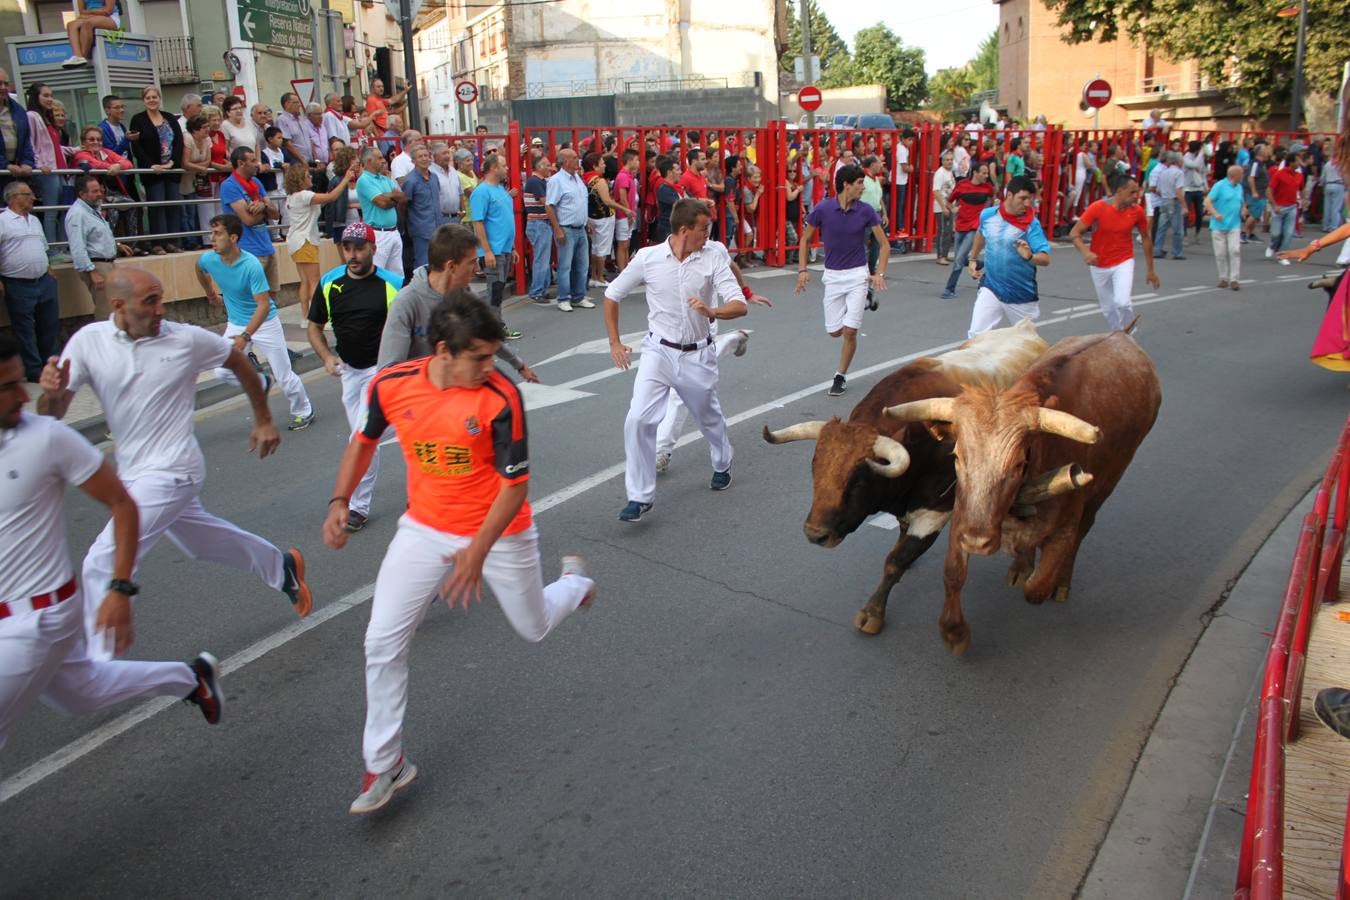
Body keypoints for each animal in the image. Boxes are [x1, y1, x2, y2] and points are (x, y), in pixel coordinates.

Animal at [761, 319, 1042, 636]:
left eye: (858, 480)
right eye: (815, 468)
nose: (815, 534)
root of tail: (1024, 328)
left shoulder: (934, 511)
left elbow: (895, 561)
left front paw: (873, 611)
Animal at [885, 330, 1161, 655]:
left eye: (1017, 464)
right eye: (957, 456)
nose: (977, 540)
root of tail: (1122, 334)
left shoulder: (1065, 525)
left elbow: (1038, 588)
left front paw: (1046, 577)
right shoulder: (963, 515)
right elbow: (952, 573)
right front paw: (955, 633)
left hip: (1109, 481)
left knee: (1084, 530)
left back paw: (1060, 582)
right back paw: (1020, 566)